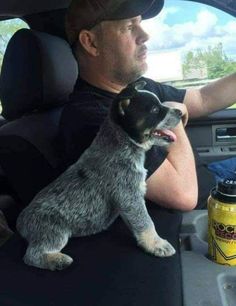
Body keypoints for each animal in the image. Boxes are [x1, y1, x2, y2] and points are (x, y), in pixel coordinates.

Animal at [16, 80, 183, 270]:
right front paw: (156, 244)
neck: (123, 142)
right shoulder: (129, 196)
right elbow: (146, 222)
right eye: (155, 110)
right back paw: (58, 261)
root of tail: (21, 221)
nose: (180, 112)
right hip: (54, 230)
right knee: (32, 255)